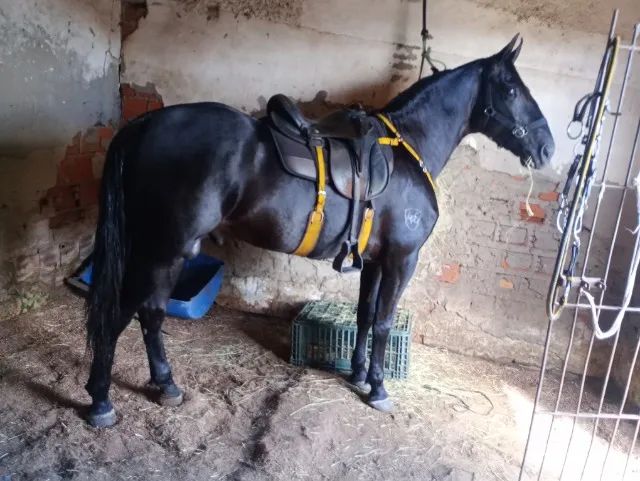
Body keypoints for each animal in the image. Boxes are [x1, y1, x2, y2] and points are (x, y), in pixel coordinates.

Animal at [85, 35, 555, 427]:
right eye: (511, 89)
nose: (547, 148)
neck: (407, 150)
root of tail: (144, 125)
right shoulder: (402, 259)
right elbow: (384, 322)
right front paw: (378, 389)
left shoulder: (375, 261)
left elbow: (365, 314)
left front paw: (359, 373)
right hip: (166, 247)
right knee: (123, 313)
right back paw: (100, 401)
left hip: (165, 249)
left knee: (151, 312)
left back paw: (165, 385)